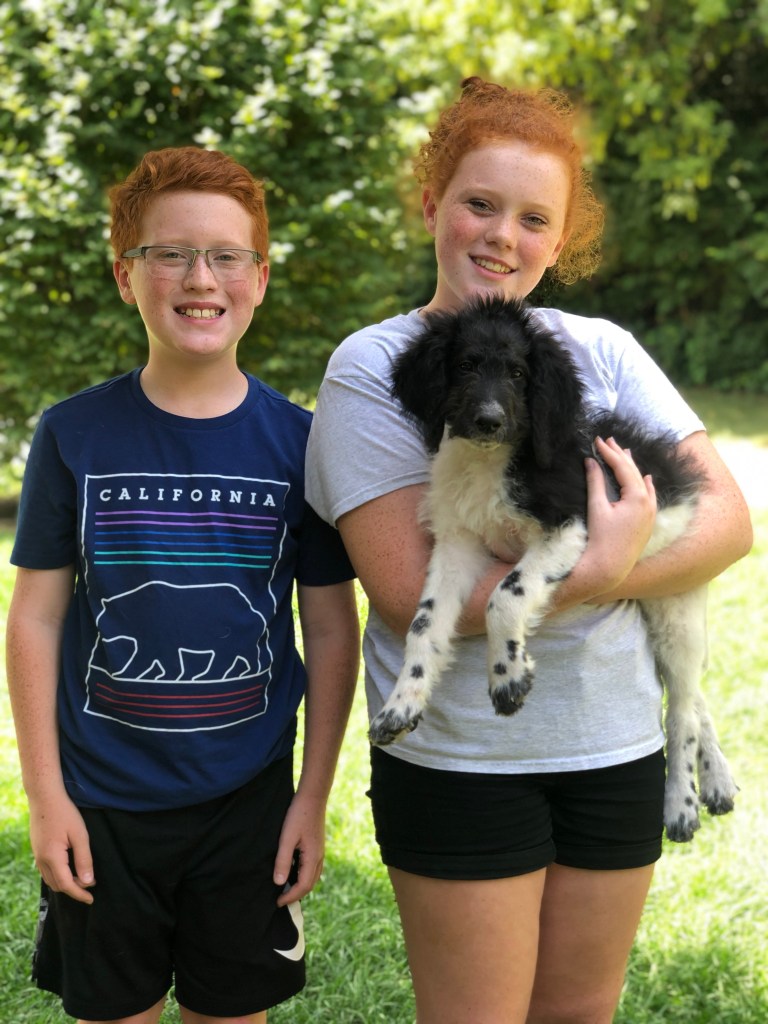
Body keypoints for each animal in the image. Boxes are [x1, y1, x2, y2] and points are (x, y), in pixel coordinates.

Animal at [368, 295, 737, 842]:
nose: (488, 420)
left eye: (519, 373)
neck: (493, 463)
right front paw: (403, 702)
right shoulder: (458, 544)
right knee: (693, 700)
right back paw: (716, 781)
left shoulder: (572, 526)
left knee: (682, 713)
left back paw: (681, 803)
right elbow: (425, 623)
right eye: (465, 366)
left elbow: (506, 594)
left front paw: (507, 677)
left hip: (678, 608)